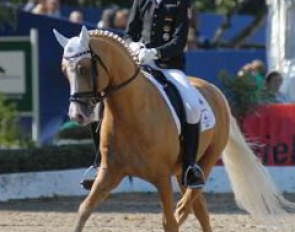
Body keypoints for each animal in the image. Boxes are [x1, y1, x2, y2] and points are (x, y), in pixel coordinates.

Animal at [54, 26, 294, 231]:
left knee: (190, 202)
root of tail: (214, 90)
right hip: (181, 170)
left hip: (206, 160)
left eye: (84, 68)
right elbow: (84, 210)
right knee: (200, 209)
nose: (77, 114)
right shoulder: (109, 173)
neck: (131, 113)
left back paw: (183, 207)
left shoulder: (161, 177)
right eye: (64, 71)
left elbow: (168, 222)